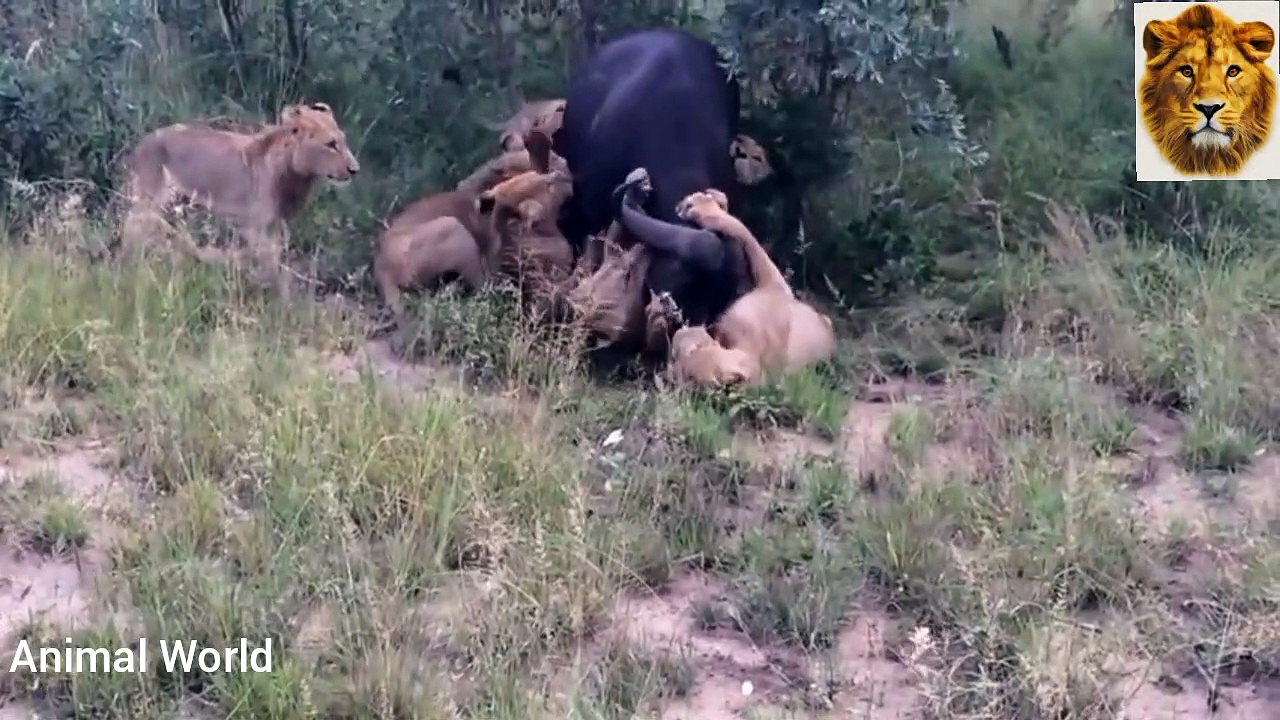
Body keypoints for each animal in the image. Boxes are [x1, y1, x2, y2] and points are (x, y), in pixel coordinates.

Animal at [119, 102, 360, 290]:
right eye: (331, 144)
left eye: (343, 140)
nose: (355, 169)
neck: (296, 176)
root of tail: (143, 141)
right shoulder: (255, 230)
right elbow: (273, 273)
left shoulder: (275, 230)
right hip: (152, 198)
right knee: (134, 227)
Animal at [670, 188, 836, 386]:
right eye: (676, 359)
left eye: (693, 349)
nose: (677, 336)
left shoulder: (770, 281)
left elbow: (736, 227)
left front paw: (704, 203)